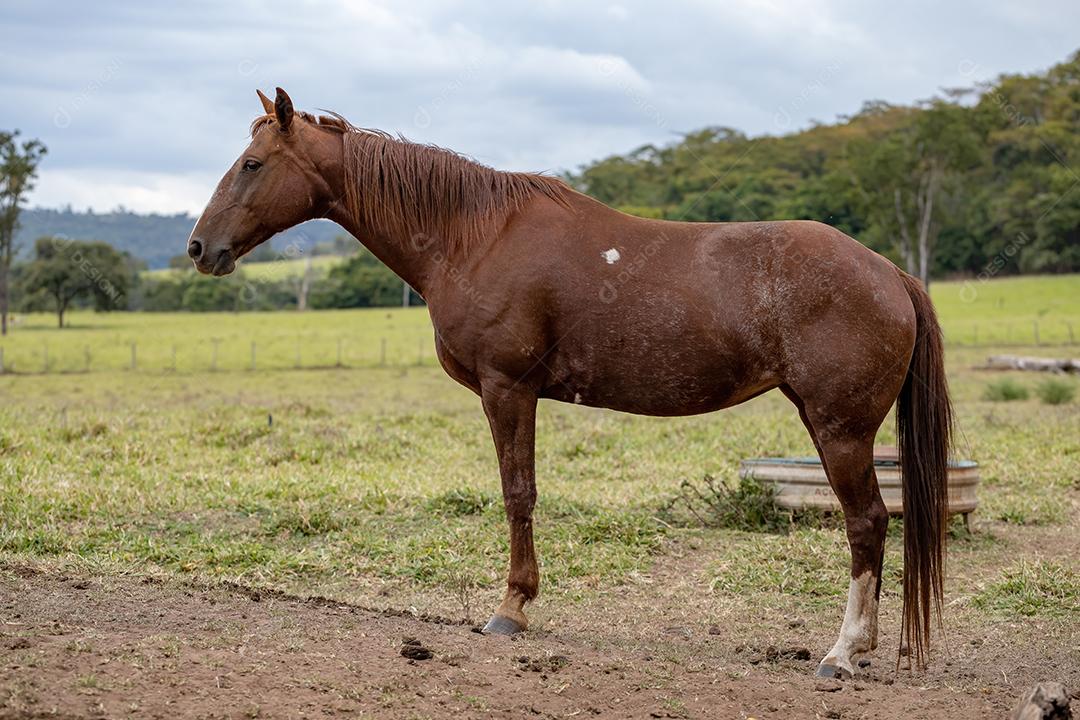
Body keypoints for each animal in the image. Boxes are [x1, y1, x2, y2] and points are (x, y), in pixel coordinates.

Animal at [190, 87, 950, 677]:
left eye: (253, 164)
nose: (200, 248)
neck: (476, 234)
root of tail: (891, 272)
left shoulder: (508, 389)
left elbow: (518, 494)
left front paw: (511, 609)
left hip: (839, 428)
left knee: (867, 523)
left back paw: (843, 652)